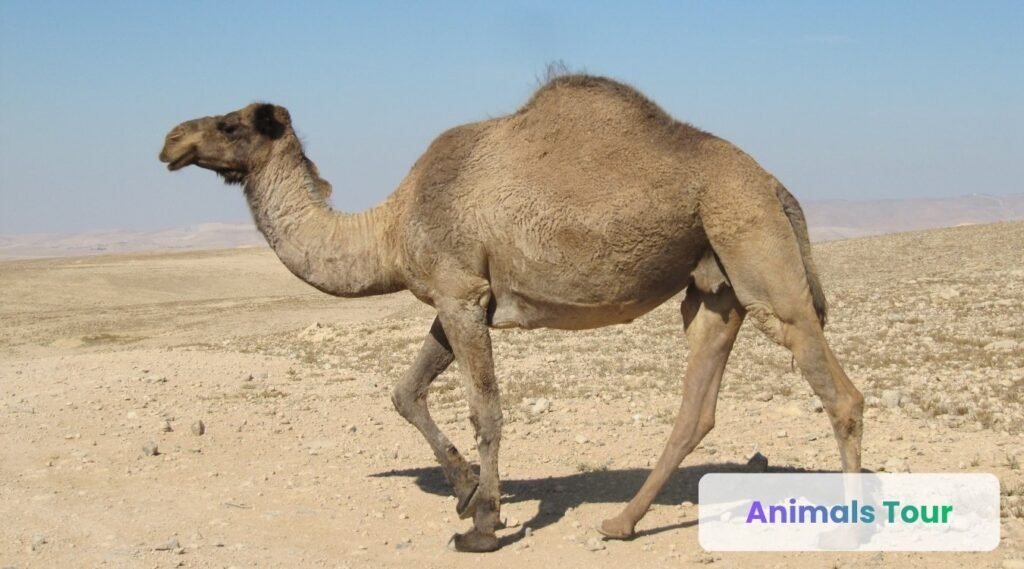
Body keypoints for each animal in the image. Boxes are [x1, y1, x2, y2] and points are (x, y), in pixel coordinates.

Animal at [159, 74, 864, 552]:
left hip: (752, 242)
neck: (389, 226)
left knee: (836, 388)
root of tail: (775, 184)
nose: (170, 139)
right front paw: (465, 489)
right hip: (713, 281)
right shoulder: (456, 298)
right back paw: (620, 522)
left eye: (231, 124)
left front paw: (484, 523)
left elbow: (486, 411)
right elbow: (404, 392)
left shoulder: (460, 294)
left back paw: (852, 531)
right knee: (697, 408)